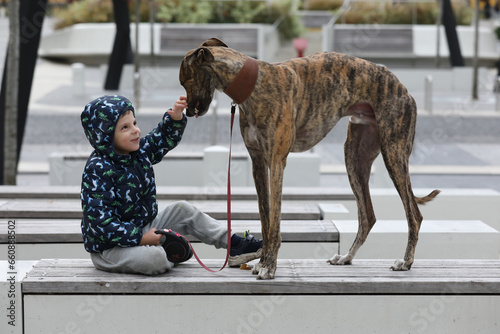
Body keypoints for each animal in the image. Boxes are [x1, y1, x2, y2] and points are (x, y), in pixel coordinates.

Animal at [179, 37, 438, 280]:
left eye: (183, 81)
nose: (188, 112)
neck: (256, 84)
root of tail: (403, 88)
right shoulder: (258, 162)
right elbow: (265, 219)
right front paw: (261, 262)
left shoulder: (276, 161)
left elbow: (274, 222)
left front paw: (269, 267)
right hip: (355, 157)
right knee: (368, 216)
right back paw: (346, 257)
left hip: (394, 152)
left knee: (414, 214)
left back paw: (405, 262)